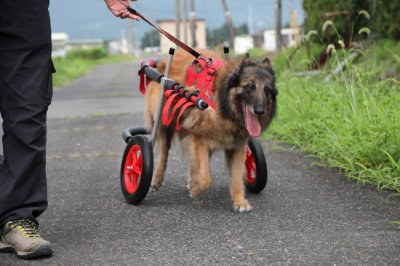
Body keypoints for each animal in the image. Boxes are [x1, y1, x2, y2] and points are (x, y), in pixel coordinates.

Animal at [144, 49, 278, 212]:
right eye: (250, 87)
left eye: (267, 90)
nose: (260, 111)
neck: (224, 107)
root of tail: (164, 63)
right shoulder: (199, 139)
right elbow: (206, 178)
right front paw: (196, 190)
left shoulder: (237, 147)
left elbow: (236, 177)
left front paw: (239, 201)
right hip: (164, 123)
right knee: (164, 152)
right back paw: (156, 179)